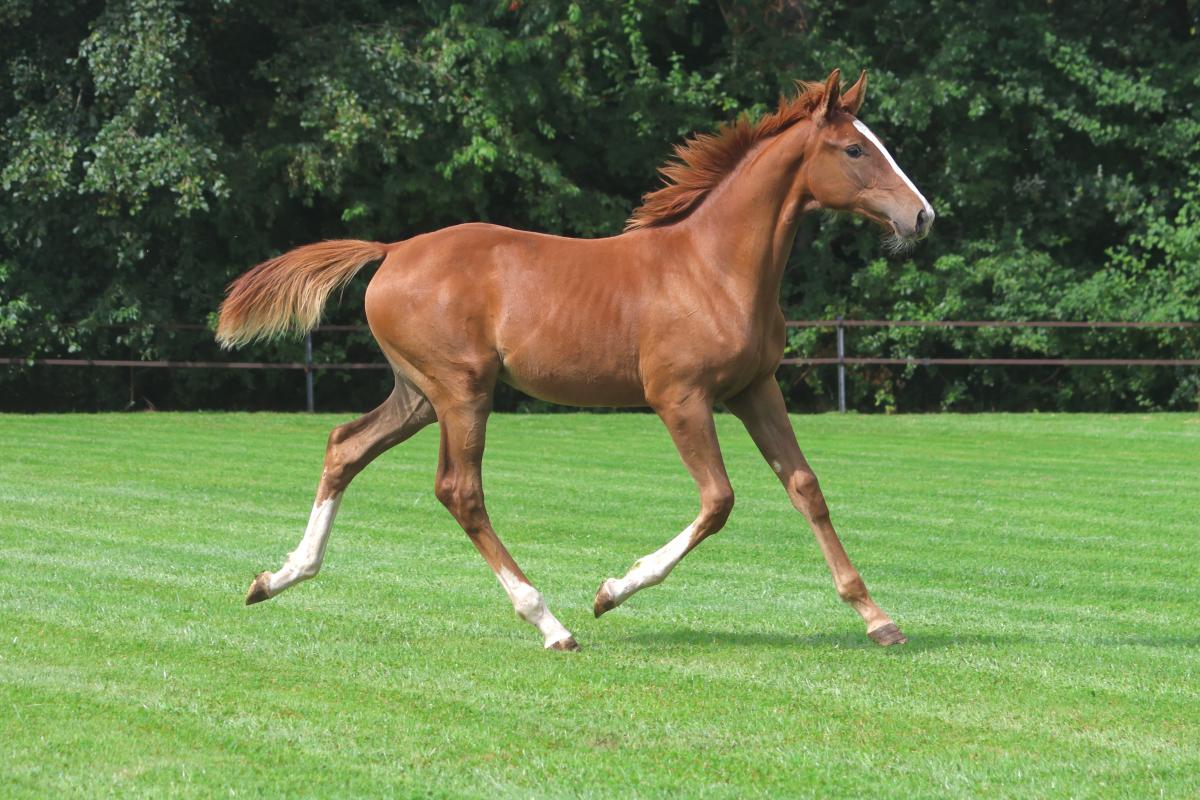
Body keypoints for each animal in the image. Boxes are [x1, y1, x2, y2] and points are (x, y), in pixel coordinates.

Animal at [217, 69, 934, 651]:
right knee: (459, 490)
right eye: (854, 149)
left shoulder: (756, 389)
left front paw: (878, 619)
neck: (714, 269)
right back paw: (550, 623)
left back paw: (277, 577)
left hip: (419, 394)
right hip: (462, 389)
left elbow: (806, 487)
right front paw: (611, 591)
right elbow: (718, 500)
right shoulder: (680, 398)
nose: (922, 216)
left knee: (345, 446)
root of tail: (392, 250)